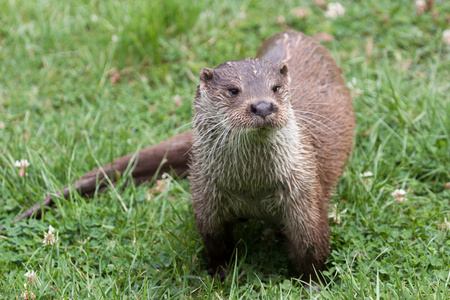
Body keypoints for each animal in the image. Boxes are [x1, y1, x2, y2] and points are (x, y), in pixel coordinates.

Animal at [3, 31, 356, 284]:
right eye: (233, 90)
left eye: (276, 88)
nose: (263, 106)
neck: (252, 188)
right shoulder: (206, 200)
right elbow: (216, 245)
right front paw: (219, 274)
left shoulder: (305, 198)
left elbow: (312, 250)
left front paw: (313, 285)